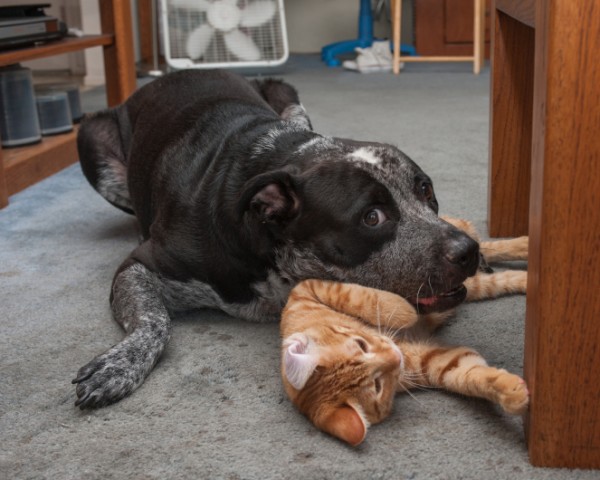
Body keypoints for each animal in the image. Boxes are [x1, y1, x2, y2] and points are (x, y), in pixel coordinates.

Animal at [75, 69, 478, 408]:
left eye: (425, 190)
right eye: (372, 217)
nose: (469, 251)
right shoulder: (141, 264)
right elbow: (154, 319)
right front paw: (120, 363)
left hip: (286, 92)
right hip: (89, 136)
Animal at [278, 219, 528, 448]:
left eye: (361, 345)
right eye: (377, 385)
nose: (394, 356)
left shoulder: (307, 289)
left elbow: (364, 298)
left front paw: (404, 310)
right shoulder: (433, 364)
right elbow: (472, 376)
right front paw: (511, 392)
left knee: (480, 244)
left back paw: (523, 244)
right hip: (467, 287)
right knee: (494, 277)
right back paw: (525, 276)